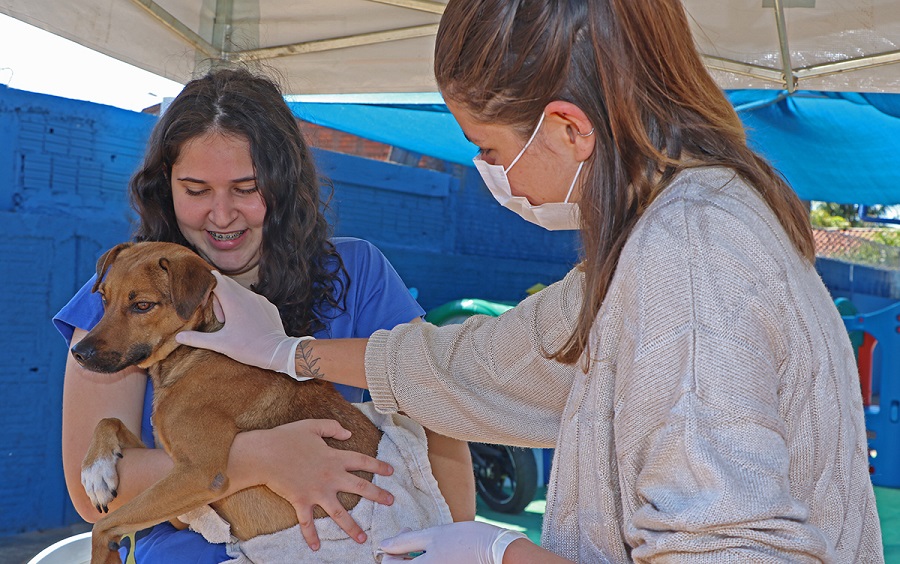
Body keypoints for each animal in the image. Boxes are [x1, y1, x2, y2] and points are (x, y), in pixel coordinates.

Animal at [69, 241, 380, 564]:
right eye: (104, 299)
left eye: (142, 305)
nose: (78, 353)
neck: (194, 350)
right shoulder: (183, 506)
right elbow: (109, 420)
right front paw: (96, 471)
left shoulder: (199, 474)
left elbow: (103, 527)